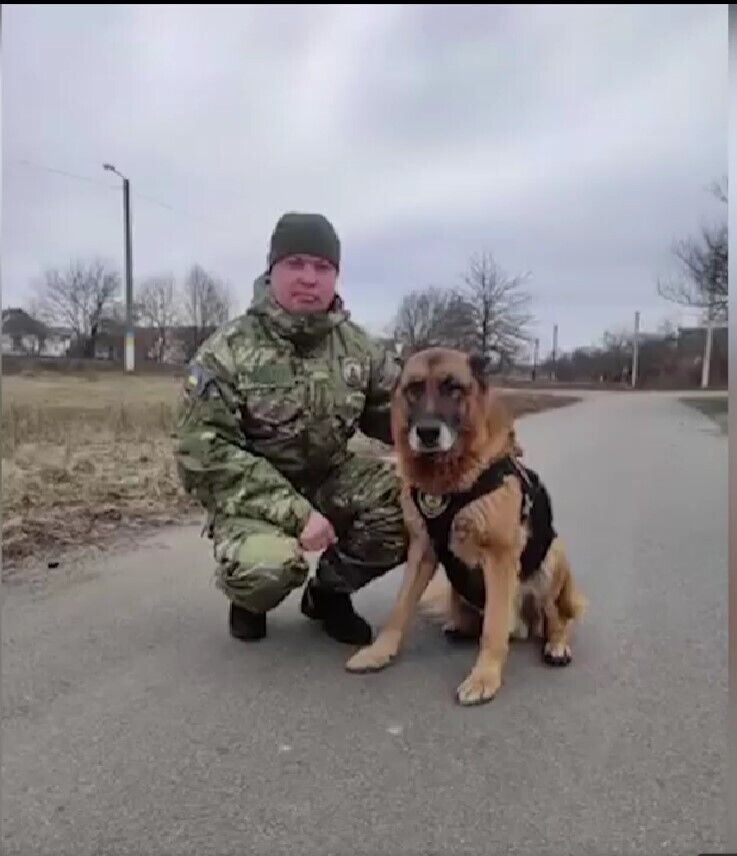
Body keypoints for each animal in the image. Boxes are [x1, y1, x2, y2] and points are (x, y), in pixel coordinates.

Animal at [344, 344, 588, 704]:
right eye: (414, 389)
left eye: (453, 388)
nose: (427, 433)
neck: (448, 479)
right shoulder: (422, 551)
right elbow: (400, 609)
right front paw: (379, 652)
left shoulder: (499, 558)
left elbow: (493, 629)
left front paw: (484, 677)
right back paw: (458, 625)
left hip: (553, 557)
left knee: (555, 617)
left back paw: (556, 645)